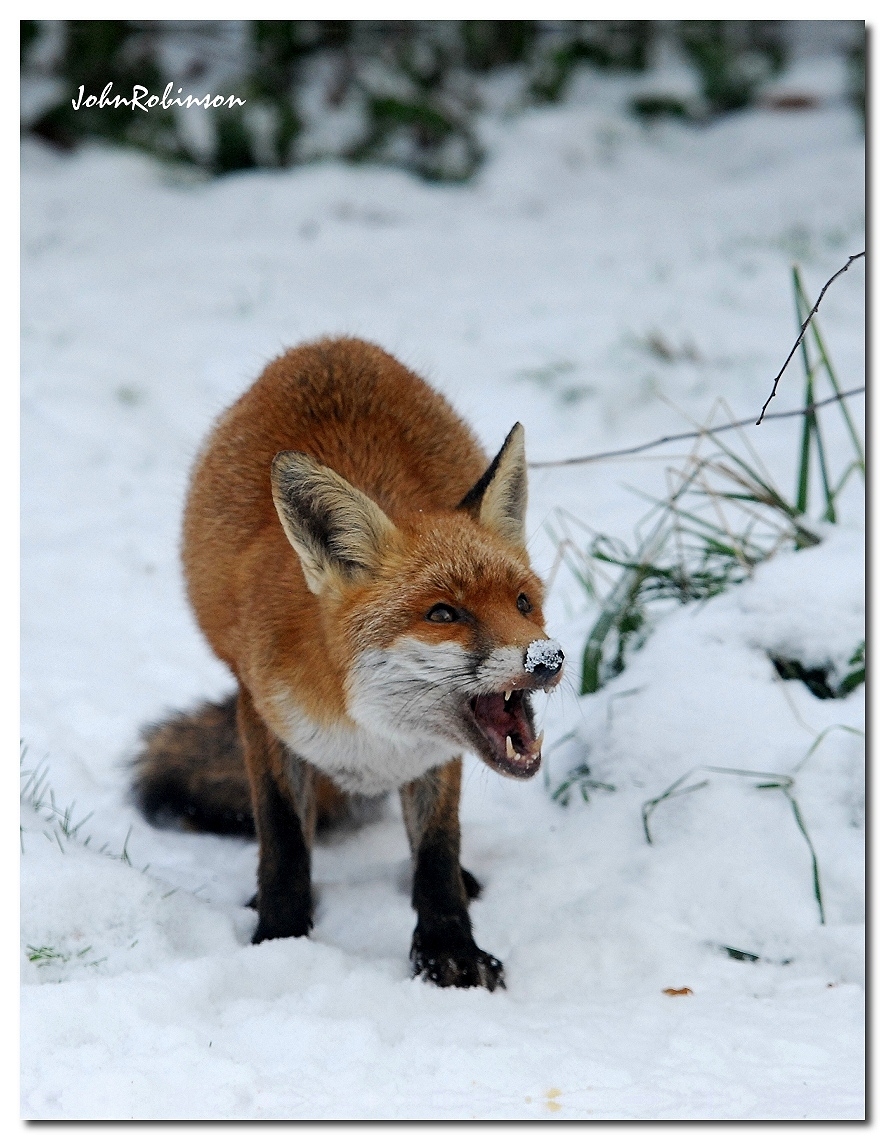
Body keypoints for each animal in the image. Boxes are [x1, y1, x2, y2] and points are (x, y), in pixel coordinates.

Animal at [132, 336, 564, 991]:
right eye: (443, 613)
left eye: (522, 603)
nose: (547, 659)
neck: (369, 727)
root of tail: (329, 343)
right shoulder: (264, 717)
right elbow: (285, 842)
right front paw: (280, 939)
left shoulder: (432, 758)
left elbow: (437, 852)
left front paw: (448, 949)